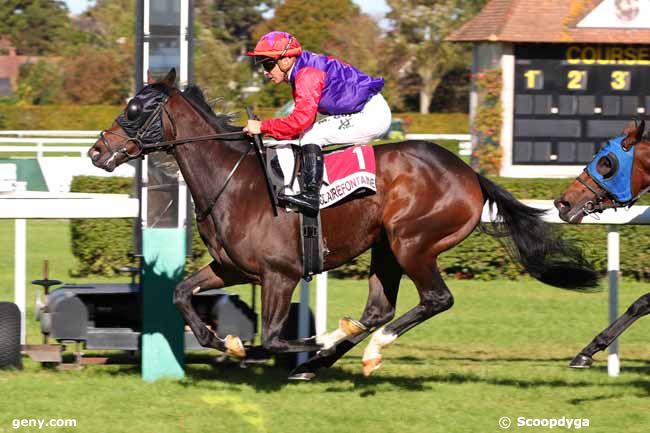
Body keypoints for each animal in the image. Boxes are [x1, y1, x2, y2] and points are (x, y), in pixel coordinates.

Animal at [88, 69, 596, 376]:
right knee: (379, 309)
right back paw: (324, 361)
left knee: (435, 299)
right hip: (386, 247)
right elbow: (181, 293)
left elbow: (275, 339)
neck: (233, 181)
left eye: (135, 110)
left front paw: (310, 339)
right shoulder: (232, 267)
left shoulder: (281, 274)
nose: (95, 151)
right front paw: (220, 339)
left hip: (412, 241)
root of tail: (469, 173)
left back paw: (358, 349)